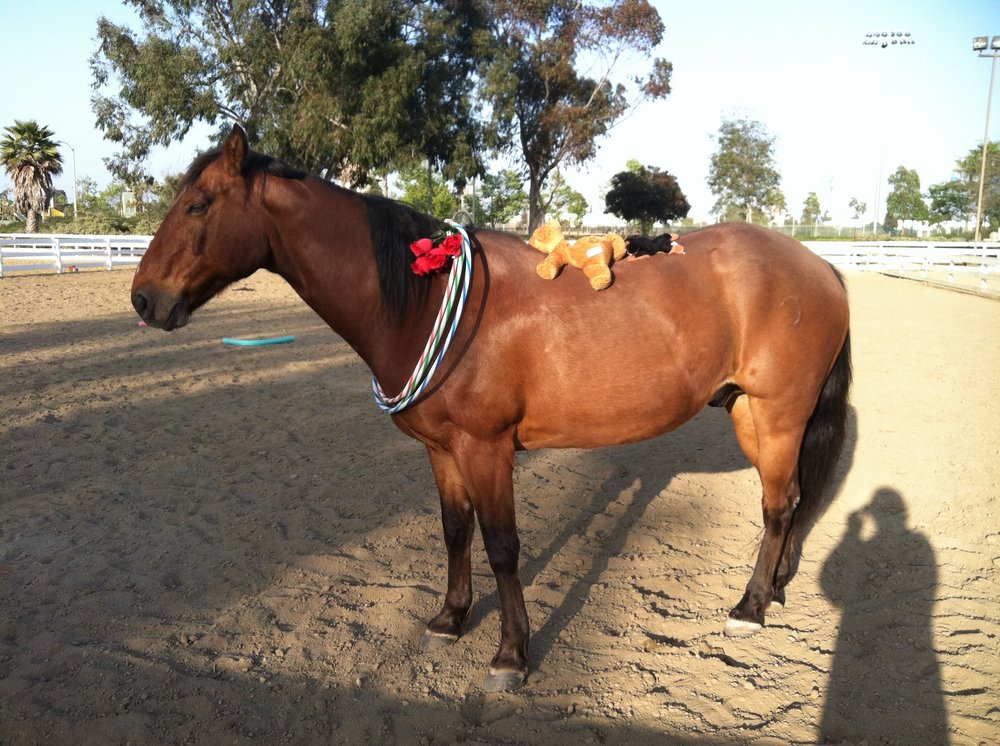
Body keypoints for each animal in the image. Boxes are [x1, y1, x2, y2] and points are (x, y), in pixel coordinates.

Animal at [132, 126, 851, 692]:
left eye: (197, 204)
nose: (144, 300)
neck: (426, 302)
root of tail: (821, 266)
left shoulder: (487, 449)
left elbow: (503, 546)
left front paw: (510, 654)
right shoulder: (442, 450)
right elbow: (456, 531)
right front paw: (449, 620)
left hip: (779, 416)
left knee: (779, 506)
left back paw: (751, 607)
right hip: (748, 415)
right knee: (788, 505)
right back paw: (774, 589)